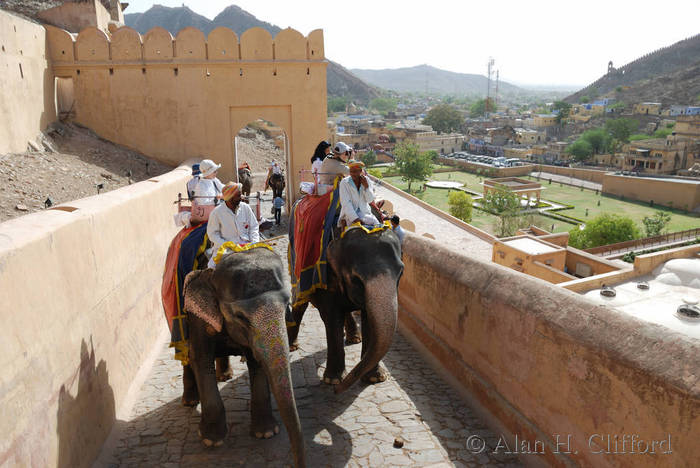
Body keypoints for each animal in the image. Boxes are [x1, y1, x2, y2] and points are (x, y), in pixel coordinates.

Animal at [182, 247, 304, 466]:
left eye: (287, 304)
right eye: (240, 317)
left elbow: (256, 361)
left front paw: (266, 433)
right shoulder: (197, 316)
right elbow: (201, 359)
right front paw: (211, 440)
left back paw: (225, 376)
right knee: (187, 355)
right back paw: (189, 401)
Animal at [286, 225, 404, 394]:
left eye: (401, 272)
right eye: (356, 279)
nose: (336, 391)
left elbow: (368, 318)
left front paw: (375, 378)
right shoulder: (326, 277)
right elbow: (332, 317)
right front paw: (333, 381)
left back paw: (354, 338)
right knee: (299, 303)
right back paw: (292, 346)